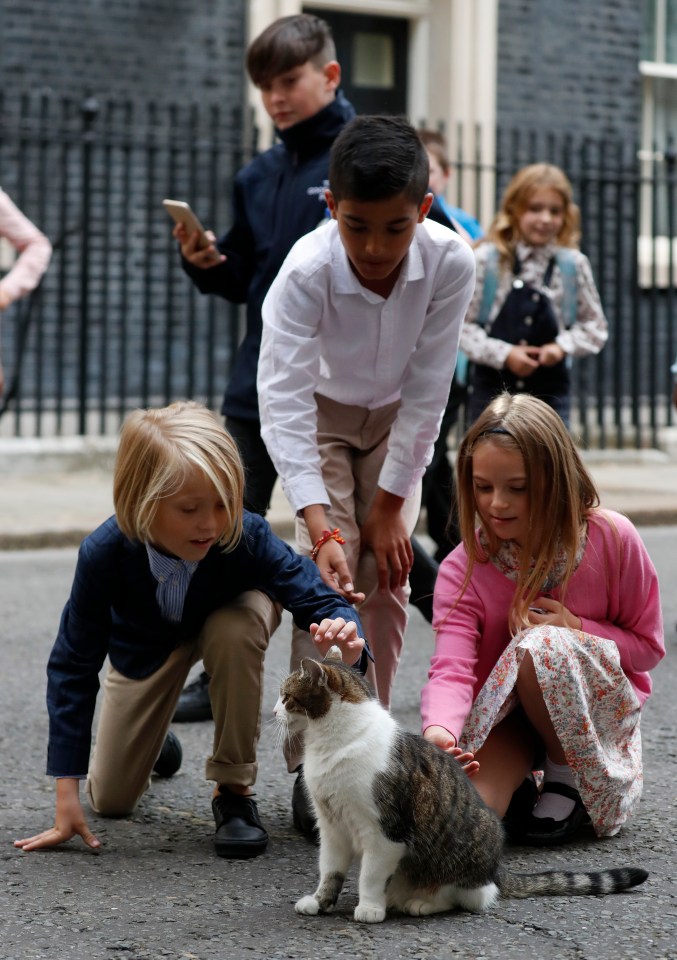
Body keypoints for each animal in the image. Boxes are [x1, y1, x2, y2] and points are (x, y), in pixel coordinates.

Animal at [272, 648, 648, 928]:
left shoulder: (384, 832)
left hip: (468, 849)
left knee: (474, 897)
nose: (273, 712)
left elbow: (370, 875)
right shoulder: (332, 826)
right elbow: (330, 870)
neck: (333, 742)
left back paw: (419, 902)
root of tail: (497, 868)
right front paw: (320, 902)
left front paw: (369, 907)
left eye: (286, 696)